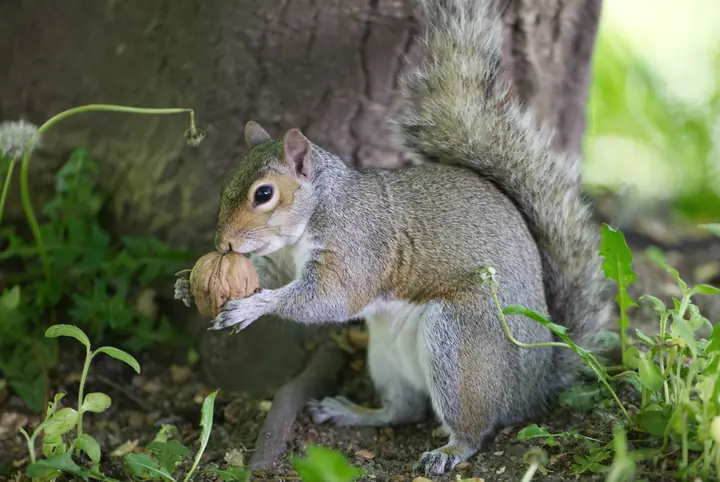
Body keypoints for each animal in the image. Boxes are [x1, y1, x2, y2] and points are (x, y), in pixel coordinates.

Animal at [174, 0, 613, 475]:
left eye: (264, 194)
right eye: (226, 184)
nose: (224, 244)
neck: (312, 218)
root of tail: (536, 387)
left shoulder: (357, 245)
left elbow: (330, 299)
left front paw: (253, 307)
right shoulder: (284, 259)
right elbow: (273, 277)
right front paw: (186, 285)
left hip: (460, 343)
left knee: (475, 426)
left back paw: (449, 450)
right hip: (385, 355)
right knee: (404, 410)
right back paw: (353, 412)